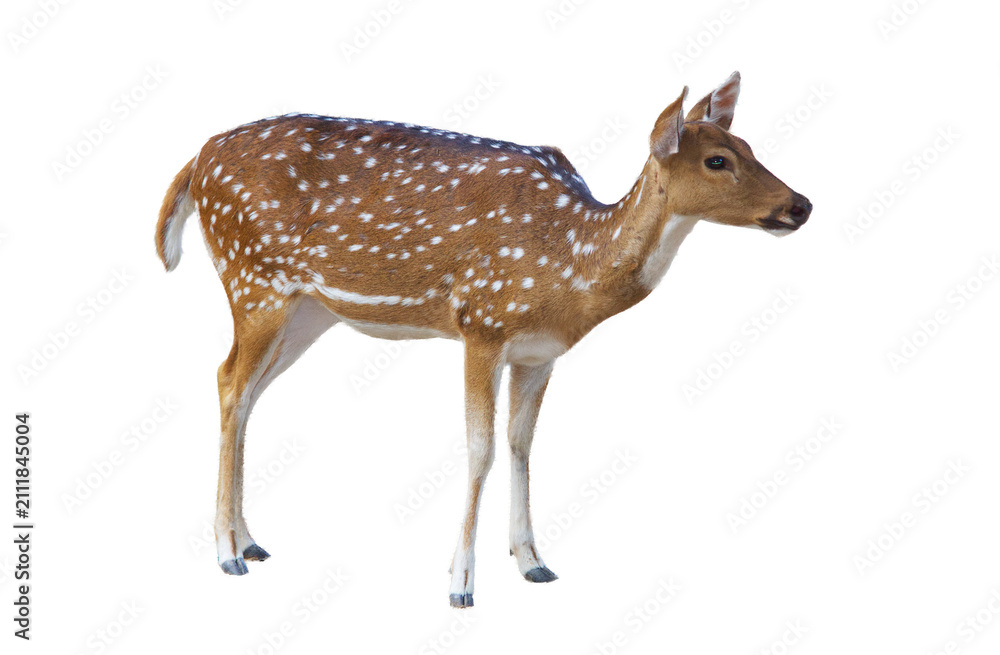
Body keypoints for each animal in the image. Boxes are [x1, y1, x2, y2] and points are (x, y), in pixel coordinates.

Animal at [155, 71, 811, 608]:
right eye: (718, 161)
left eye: (750, 148)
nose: (800, 205)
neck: (571, 270)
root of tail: (196, 159)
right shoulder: (482, 322)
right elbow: (480, 447)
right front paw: (461, 583)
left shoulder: (539, 352)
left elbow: (522, 444)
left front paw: (533, 561)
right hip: (252, 279)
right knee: (228, 381)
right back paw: (227, 553)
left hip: (307, 311)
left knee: (246, 391)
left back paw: (251, 541)